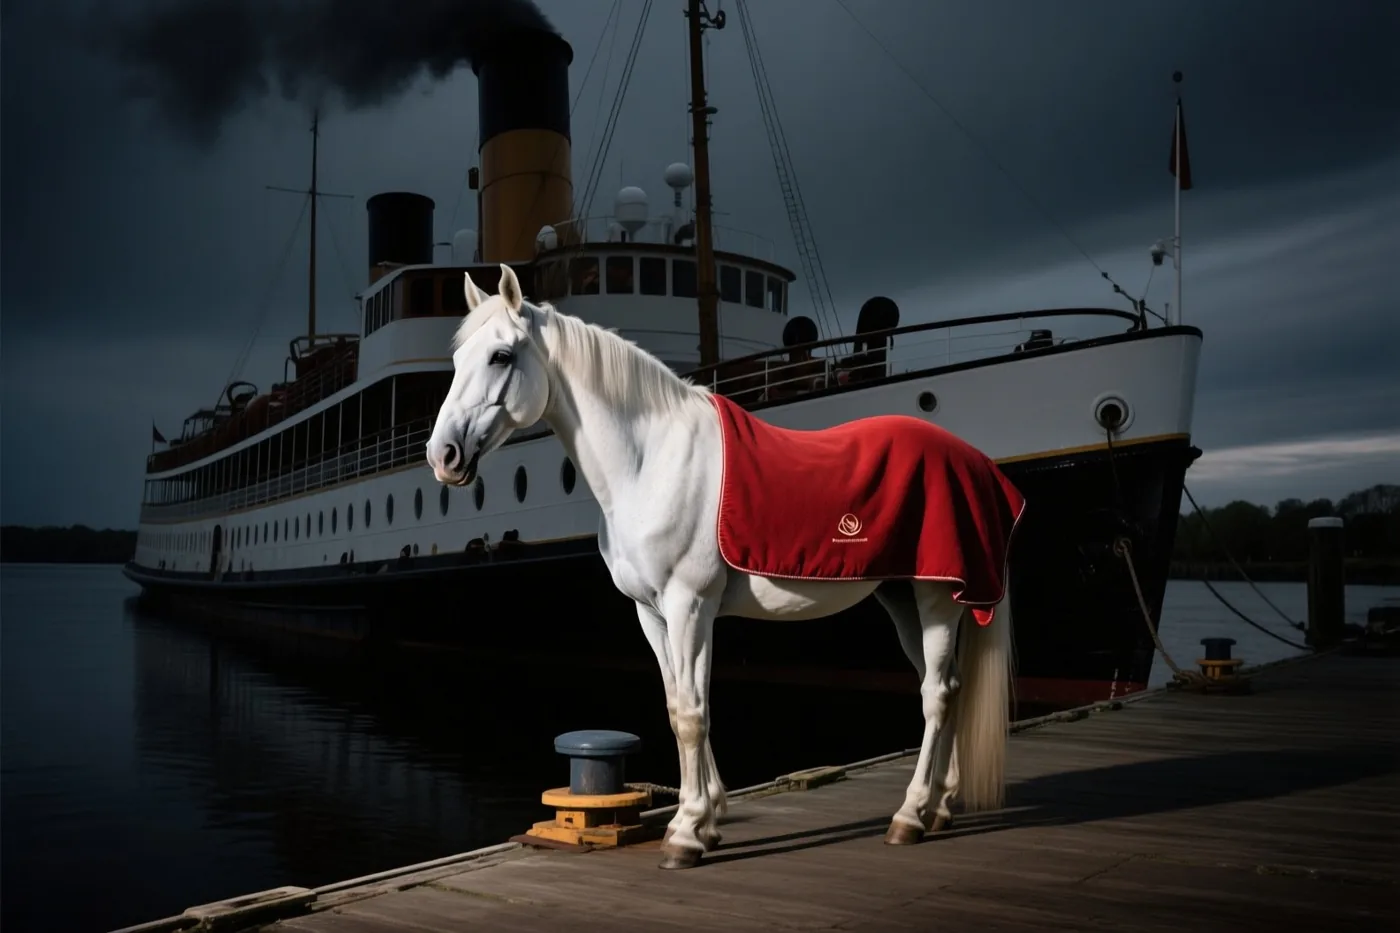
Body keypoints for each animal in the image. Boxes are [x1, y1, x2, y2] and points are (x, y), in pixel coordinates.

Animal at [426, 265, 1022, 870]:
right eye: (457, 358)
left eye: (501, 355)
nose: (441, 455)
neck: (650, 462)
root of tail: (975, 463)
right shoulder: (653, 614)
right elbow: (680, 707)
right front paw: (708, 820)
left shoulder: (688, 604)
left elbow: (693, 714)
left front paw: (686, 834)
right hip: (903, 601)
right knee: (946, 686)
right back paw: (939, 808)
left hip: (935, 599)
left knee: (937, 695)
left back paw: (910, 816)